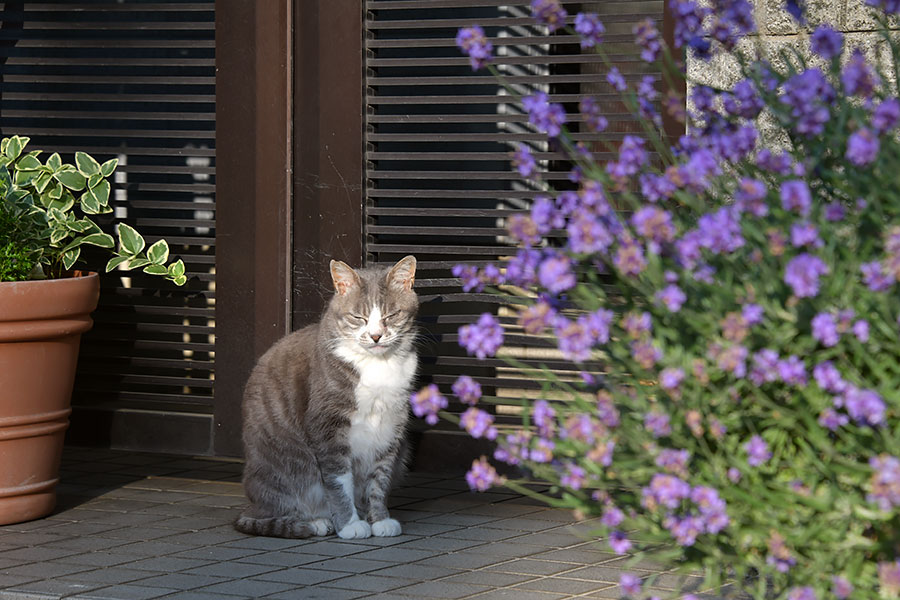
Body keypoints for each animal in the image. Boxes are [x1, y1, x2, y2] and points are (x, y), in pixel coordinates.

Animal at [237, 254, 424, 540]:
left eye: (392, 315)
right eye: (358, 317)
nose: (376, 336)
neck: (377, 365)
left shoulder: (392, 425)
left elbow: (379, 478)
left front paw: (380, 520)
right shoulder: (327, 426)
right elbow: (338, 481)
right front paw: (350, 525)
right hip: (280, 473)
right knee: (269, 512)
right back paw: (316, 522)